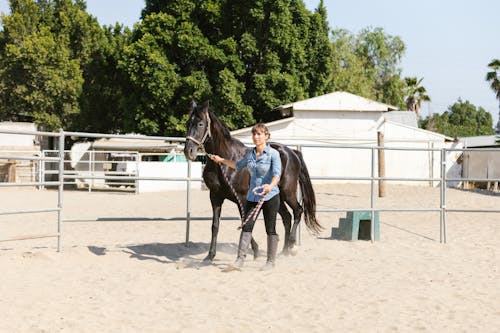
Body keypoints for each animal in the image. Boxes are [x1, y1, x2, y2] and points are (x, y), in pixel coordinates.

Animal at [184, 100, 320, 260]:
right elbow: (215, 225)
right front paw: (210, 256)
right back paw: (283, 251)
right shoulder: (215, 197)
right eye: (188, 123)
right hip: (275, 196)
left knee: (298, 211)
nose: (188, 151)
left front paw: (253, 250)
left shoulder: (242, 197)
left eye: (200, 124)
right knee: (287, 217)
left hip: (288, 192)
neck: (226, 161)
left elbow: (246, 222)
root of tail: (292, 152)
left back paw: (291, 247)